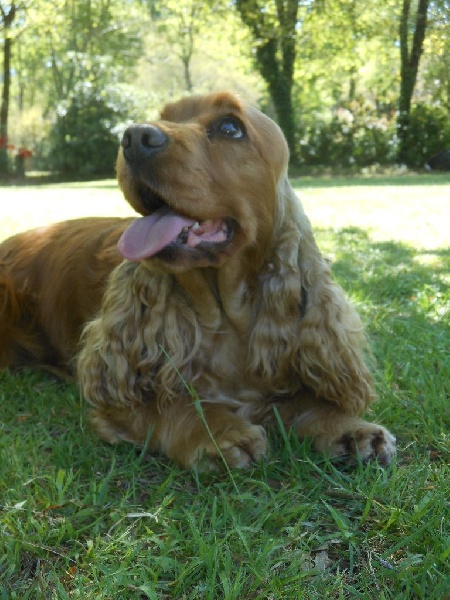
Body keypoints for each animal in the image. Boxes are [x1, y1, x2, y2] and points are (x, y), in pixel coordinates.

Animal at [0, 92, 396, 470]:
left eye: (230, 128)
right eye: (164, 116)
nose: (134, 137)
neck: (224, 317)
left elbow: (309, 401)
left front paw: (351, 429)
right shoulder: (120, 398)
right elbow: (171, 405)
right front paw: (220, 433)